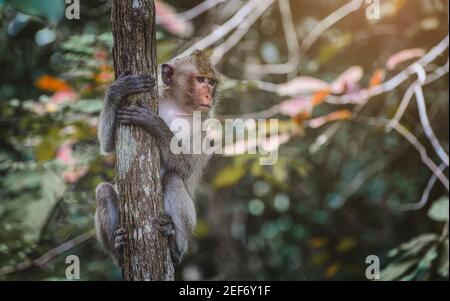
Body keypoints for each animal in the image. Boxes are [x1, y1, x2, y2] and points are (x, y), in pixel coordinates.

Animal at [95, 50, 220, 264]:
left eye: (211, 82)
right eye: (200, 80)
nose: (208, 95)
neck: (179, 107)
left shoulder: (204, 126)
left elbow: (187, 167)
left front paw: (153, 122)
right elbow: (108, 144)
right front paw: (117, 90)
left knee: (174, 178)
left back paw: (175, 243)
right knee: (103, 190)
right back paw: (117, 247)